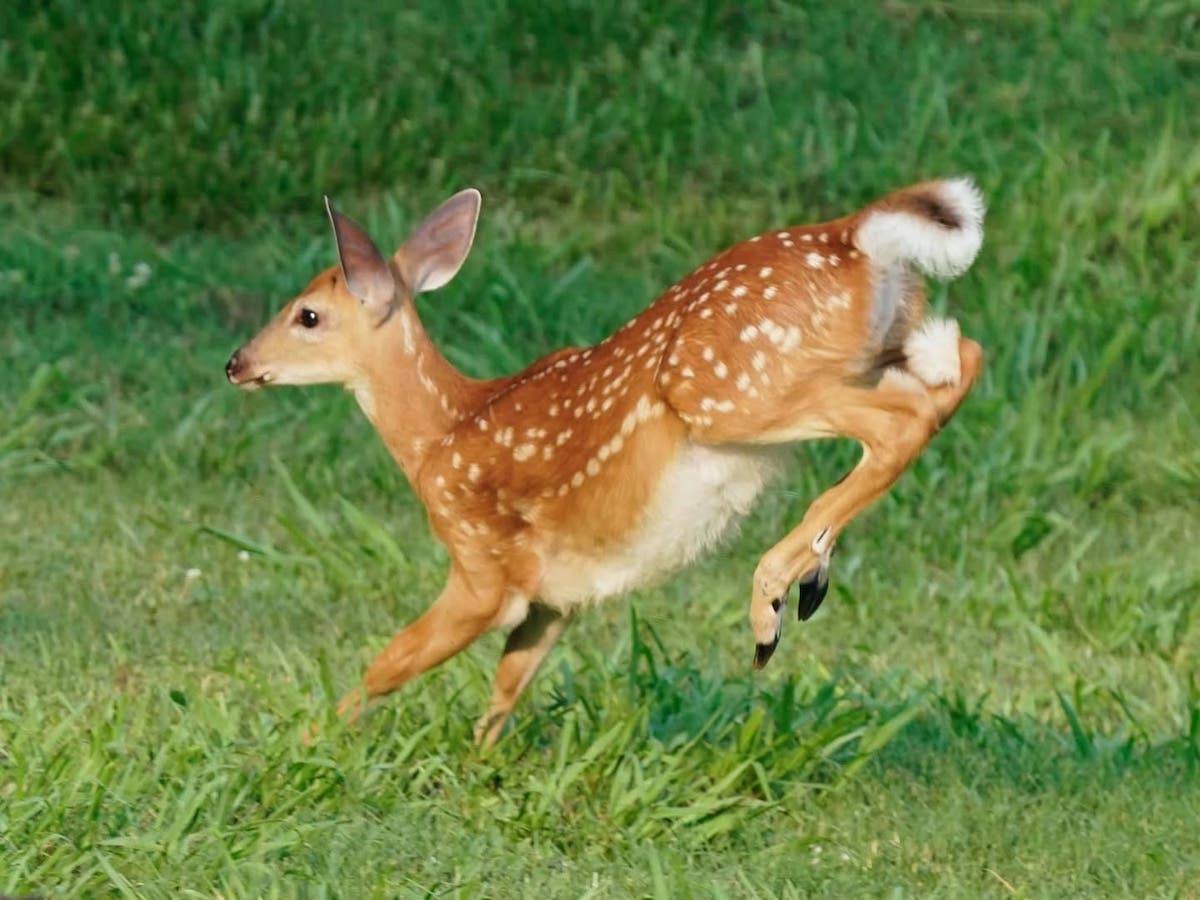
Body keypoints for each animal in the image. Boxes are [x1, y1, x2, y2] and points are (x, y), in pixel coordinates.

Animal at [226, 178, 985, 746]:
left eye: (307, 315)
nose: (236, 364)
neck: (439, 433)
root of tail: (854, 234)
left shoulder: (482, 564)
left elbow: (391, 661)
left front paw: (307, 744)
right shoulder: (552, 598)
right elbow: (507, 684)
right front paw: (477, 765)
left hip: (732, 388)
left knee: (903, 420)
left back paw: (771, 596)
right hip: (874, 350)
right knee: (960, 359)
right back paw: (807, 576)